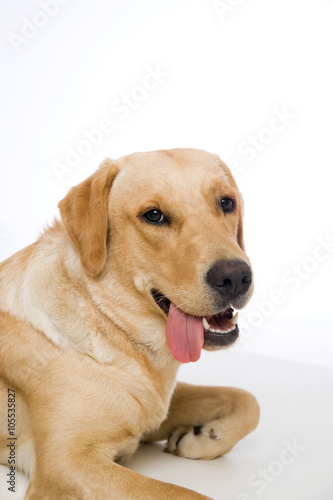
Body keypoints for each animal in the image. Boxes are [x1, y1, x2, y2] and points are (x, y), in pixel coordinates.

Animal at [0, 148, 260, 500]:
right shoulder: (64, 465)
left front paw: (204, 437)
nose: (234, 277)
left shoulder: (155, 408)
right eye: (154, 216)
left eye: (226, 203)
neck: (113, 325)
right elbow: (183, 493)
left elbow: (246, 398)